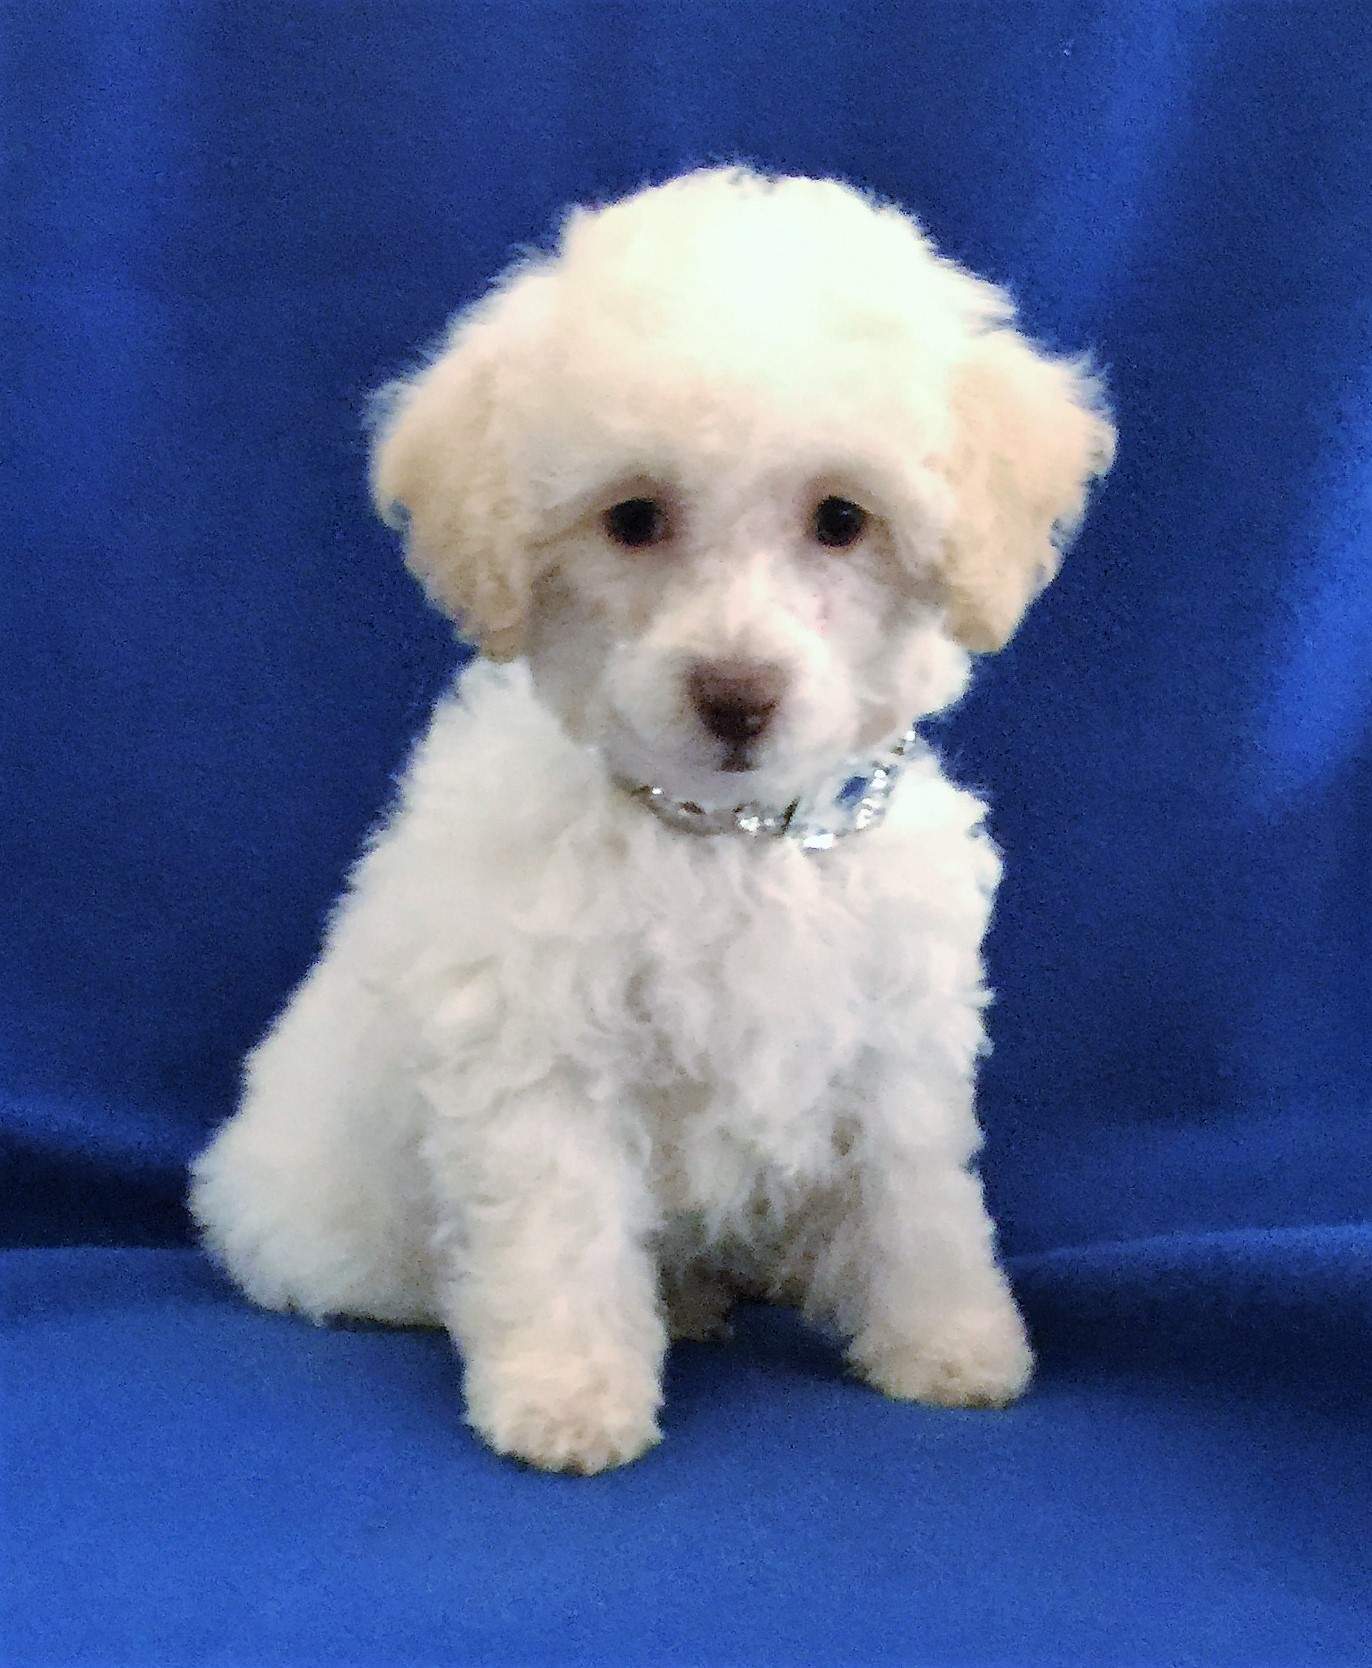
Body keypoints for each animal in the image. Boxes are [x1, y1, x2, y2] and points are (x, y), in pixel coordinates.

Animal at [190, 167, 1115, 1473]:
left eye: (841, 519)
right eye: (632, 519)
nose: (734, 693)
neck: (734, 837)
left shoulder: (894, 1036)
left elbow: (919, 1196)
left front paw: (949, 1343)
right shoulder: (542, 1059)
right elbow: (563, 1234)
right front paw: (568, 1397)